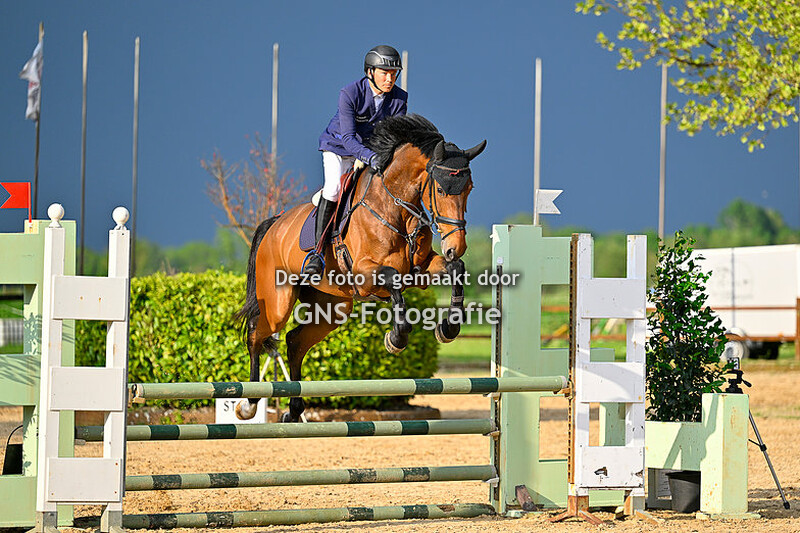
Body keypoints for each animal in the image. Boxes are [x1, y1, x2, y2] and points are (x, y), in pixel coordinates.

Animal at [235, 114, 486, 422]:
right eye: (440, 189)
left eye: (469, 189)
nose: (456, 246)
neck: (396, 206)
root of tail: (274, 223)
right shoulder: (365, 274)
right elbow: (393, 280)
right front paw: (396, 338)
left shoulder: (420, 272)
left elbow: (455, 269)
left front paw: (448, 328)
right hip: (278, 302)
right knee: (256, 333)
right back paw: (248, 404)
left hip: (334, 308)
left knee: (295, 341)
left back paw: (293, 411)